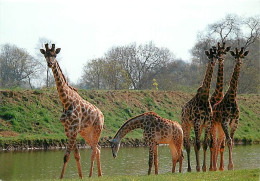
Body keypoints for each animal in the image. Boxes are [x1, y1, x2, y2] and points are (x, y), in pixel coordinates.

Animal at [39, 43, 103, 178]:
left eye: (55, 55)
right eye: (45, 55)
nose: (50, 63)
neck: (66, 101)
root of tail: (101, 114)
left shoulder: (74, 128)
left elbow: (67, 156)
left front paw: (64, 177)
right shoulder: (68, 130)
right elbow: (75, 155)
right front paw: (80, 176)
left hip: (97, 129)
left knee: (94, 151)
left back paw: (91, 175)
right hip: (86, 132)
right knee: (98, 148)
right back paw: (99, 175)